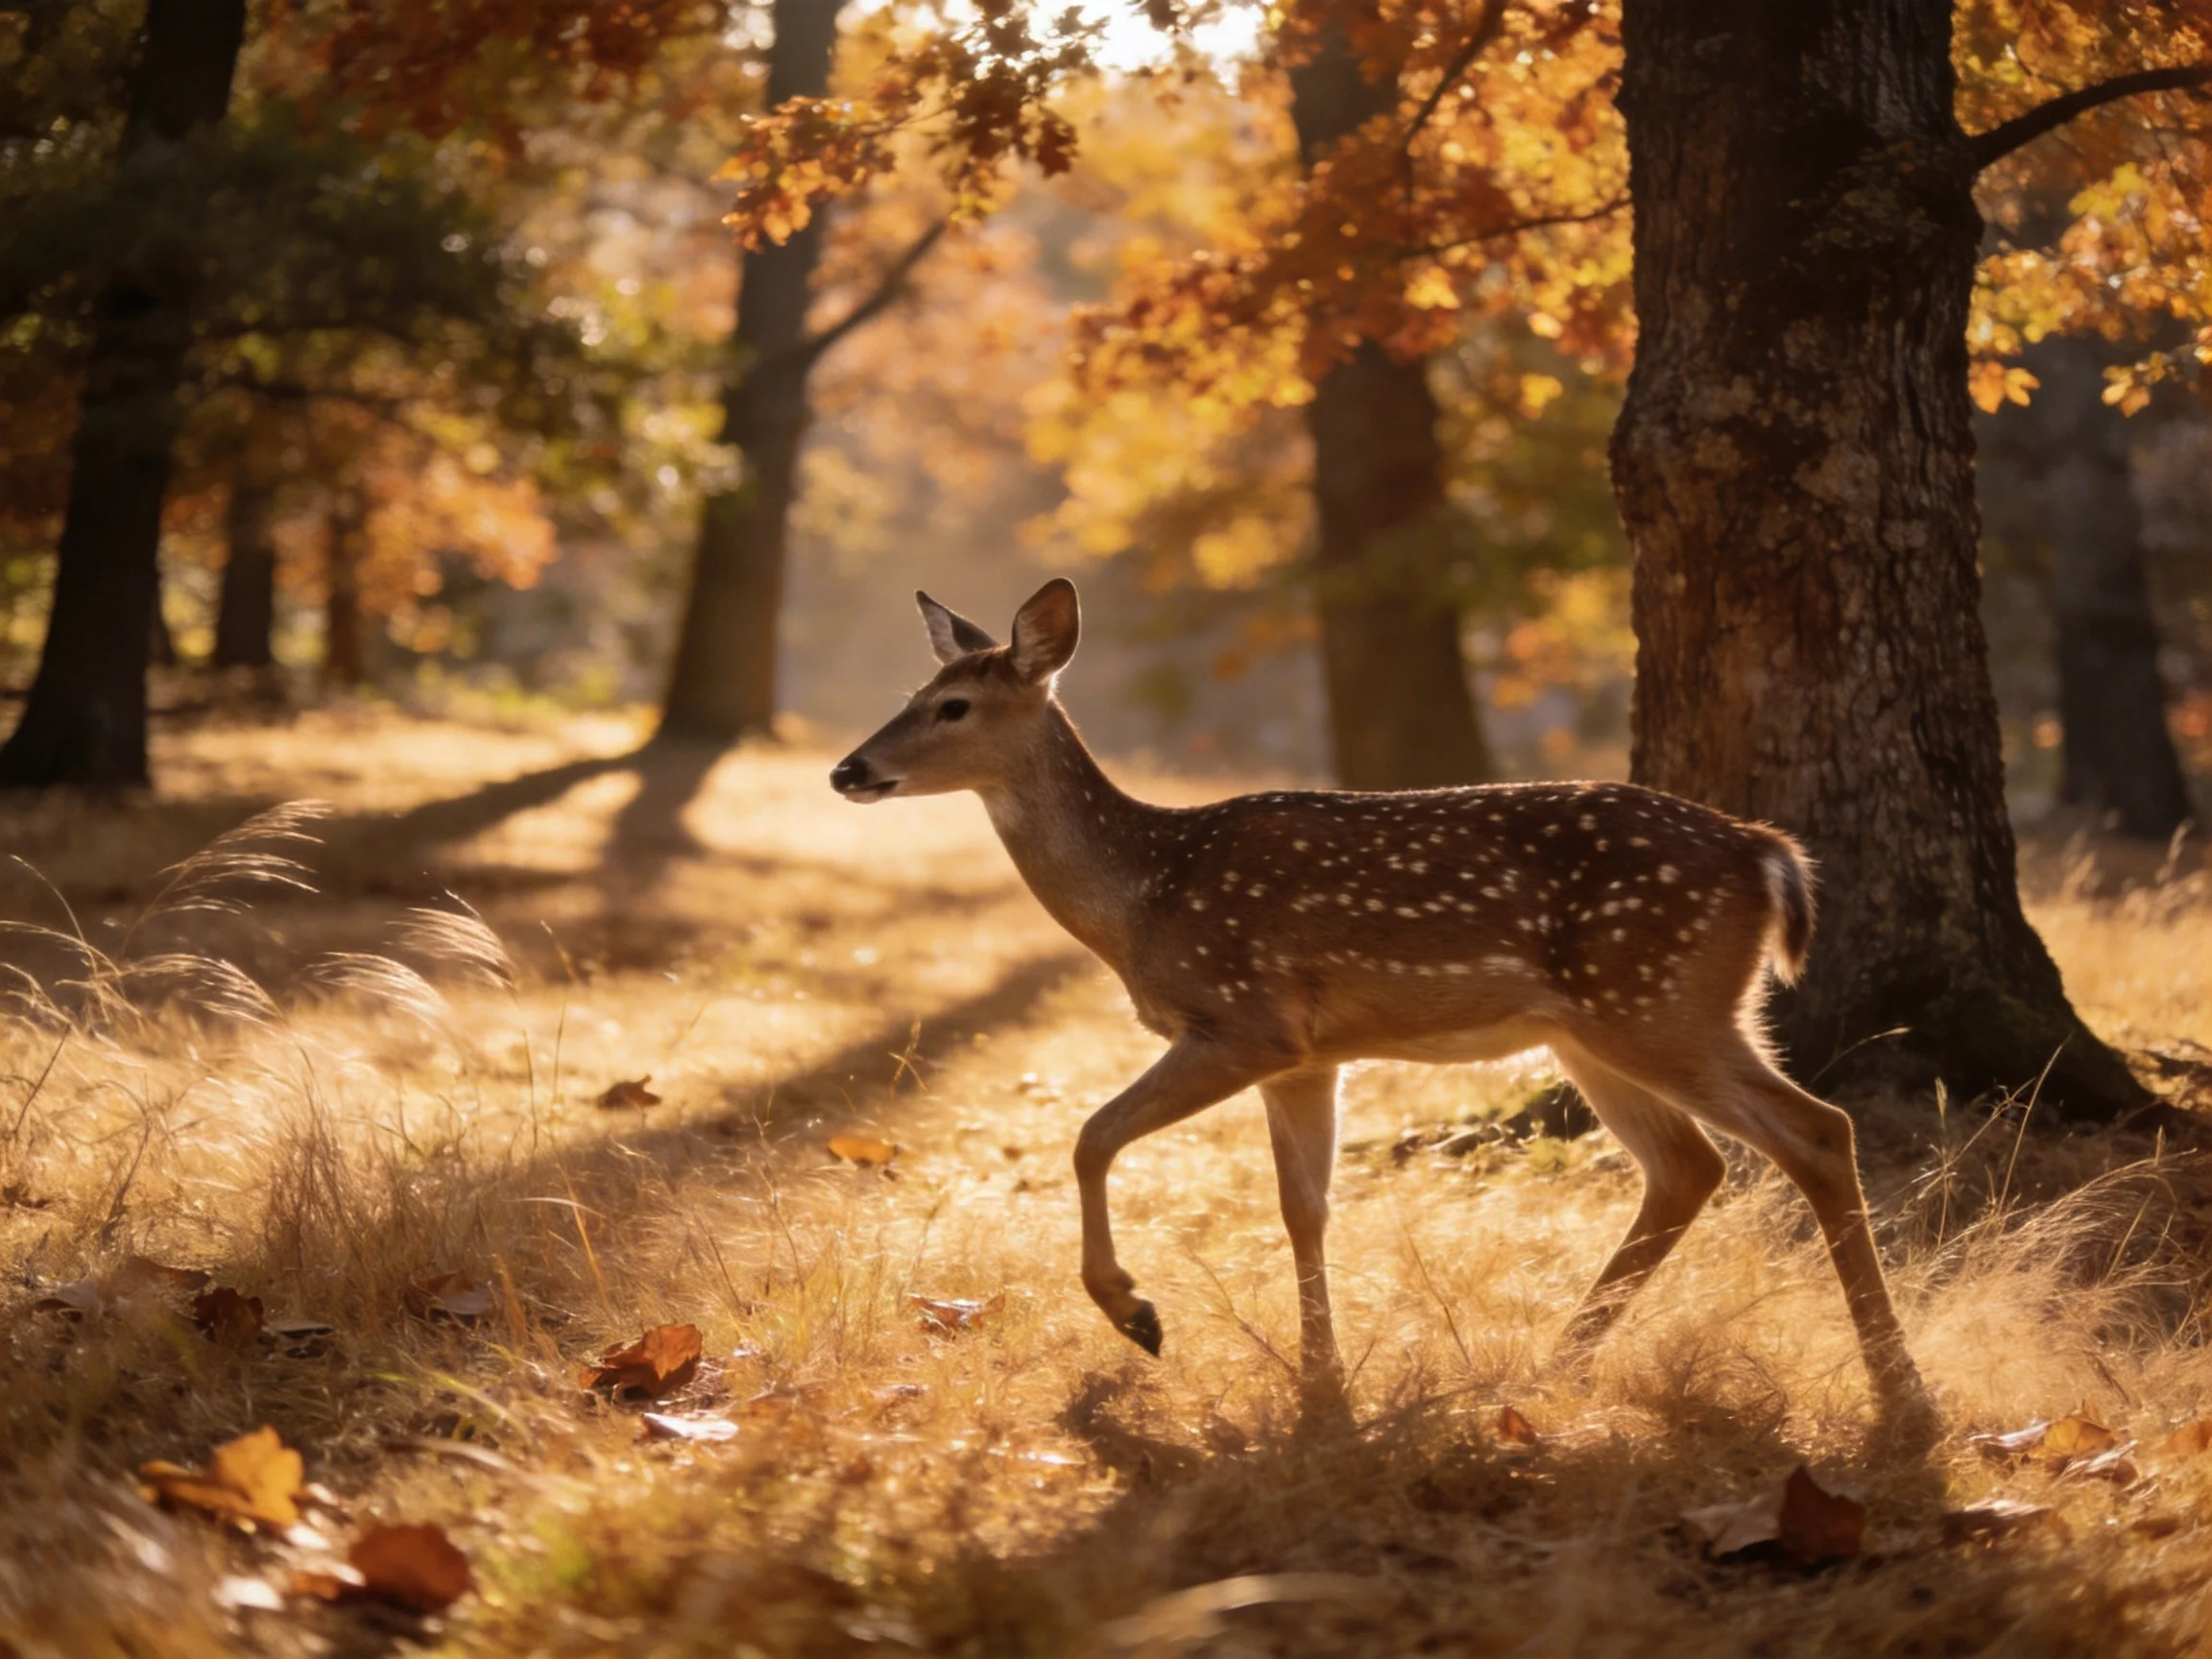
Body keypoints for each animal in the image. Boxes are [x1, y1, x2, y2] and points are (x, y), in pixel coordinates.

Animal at [830, 578, 1924, 1412]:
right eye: (915, 689)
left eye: (953, 708)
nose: (849, 768)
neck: (1144, 894)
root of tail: (1770, 855)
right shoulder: (1309, 1057)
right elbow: (1303, 1207)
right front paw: (1320, 1378)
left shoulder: (1246, 1019)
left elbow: (1092, 1135)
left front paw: (1136, 1313)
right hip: (1598, 1027)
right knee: (1689, 1166)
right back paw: (1558, 1361)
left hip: (1661, 999)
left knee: (1813, 1129)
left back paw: (1895, 1385)